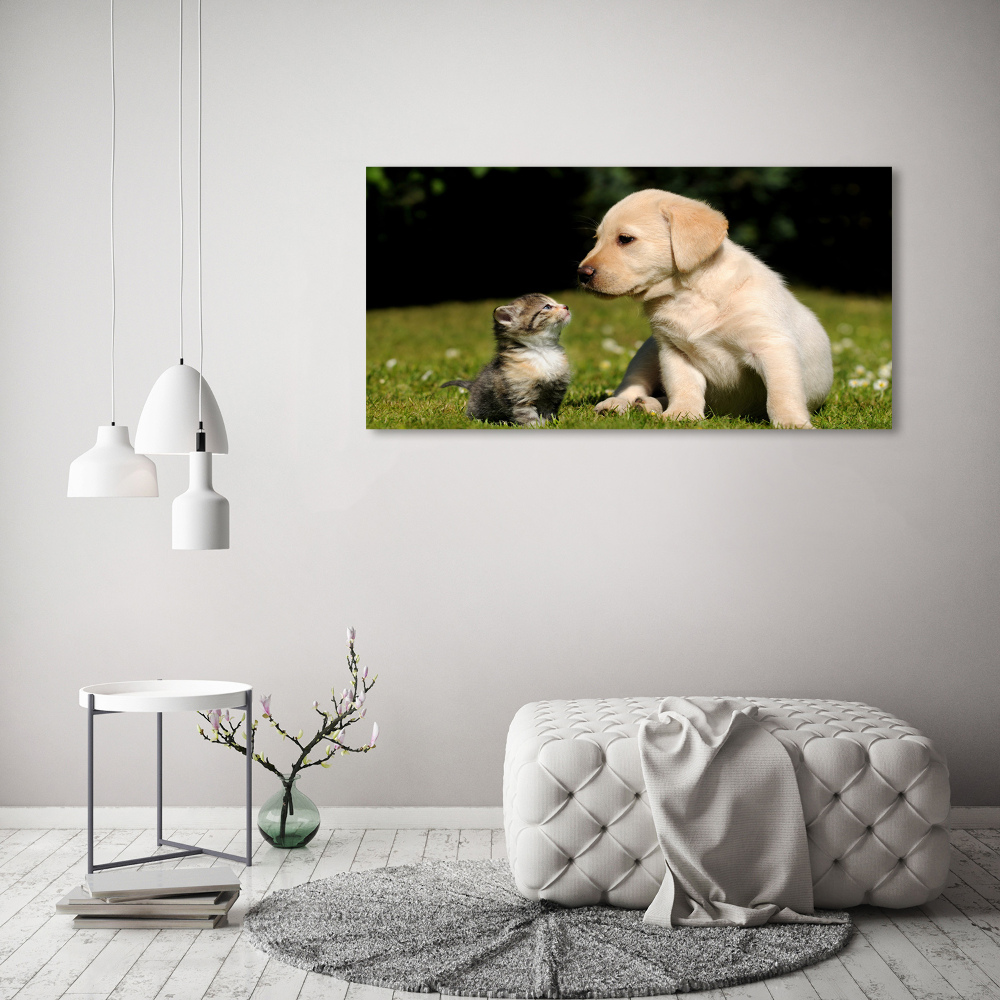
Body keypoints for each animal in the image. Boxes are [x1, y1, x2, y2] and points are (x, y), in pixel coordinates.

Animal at [440, 292, 572, 426]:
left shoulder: (553, 394)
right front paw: (536, 427)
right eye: (547, 307)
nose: (566, 306)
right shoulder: (520, 397)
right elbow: (528, 417)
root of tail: (473, 385)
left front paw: (550, 424)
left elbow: (548, 413)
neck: (542, 350)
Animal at [576, 189, 832, 428]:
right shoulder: (674, 351)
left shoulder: (772, 346)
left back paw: (648, 405)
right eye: (597, 239)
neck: (688, 294)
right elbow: (683, 386)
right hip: (647, 352)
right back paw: (621, 404)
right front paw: (683, 414)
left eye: (625, 239)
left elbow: (782, 393)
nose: (581, 274)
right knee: (632, 384)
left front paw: (792, 423)